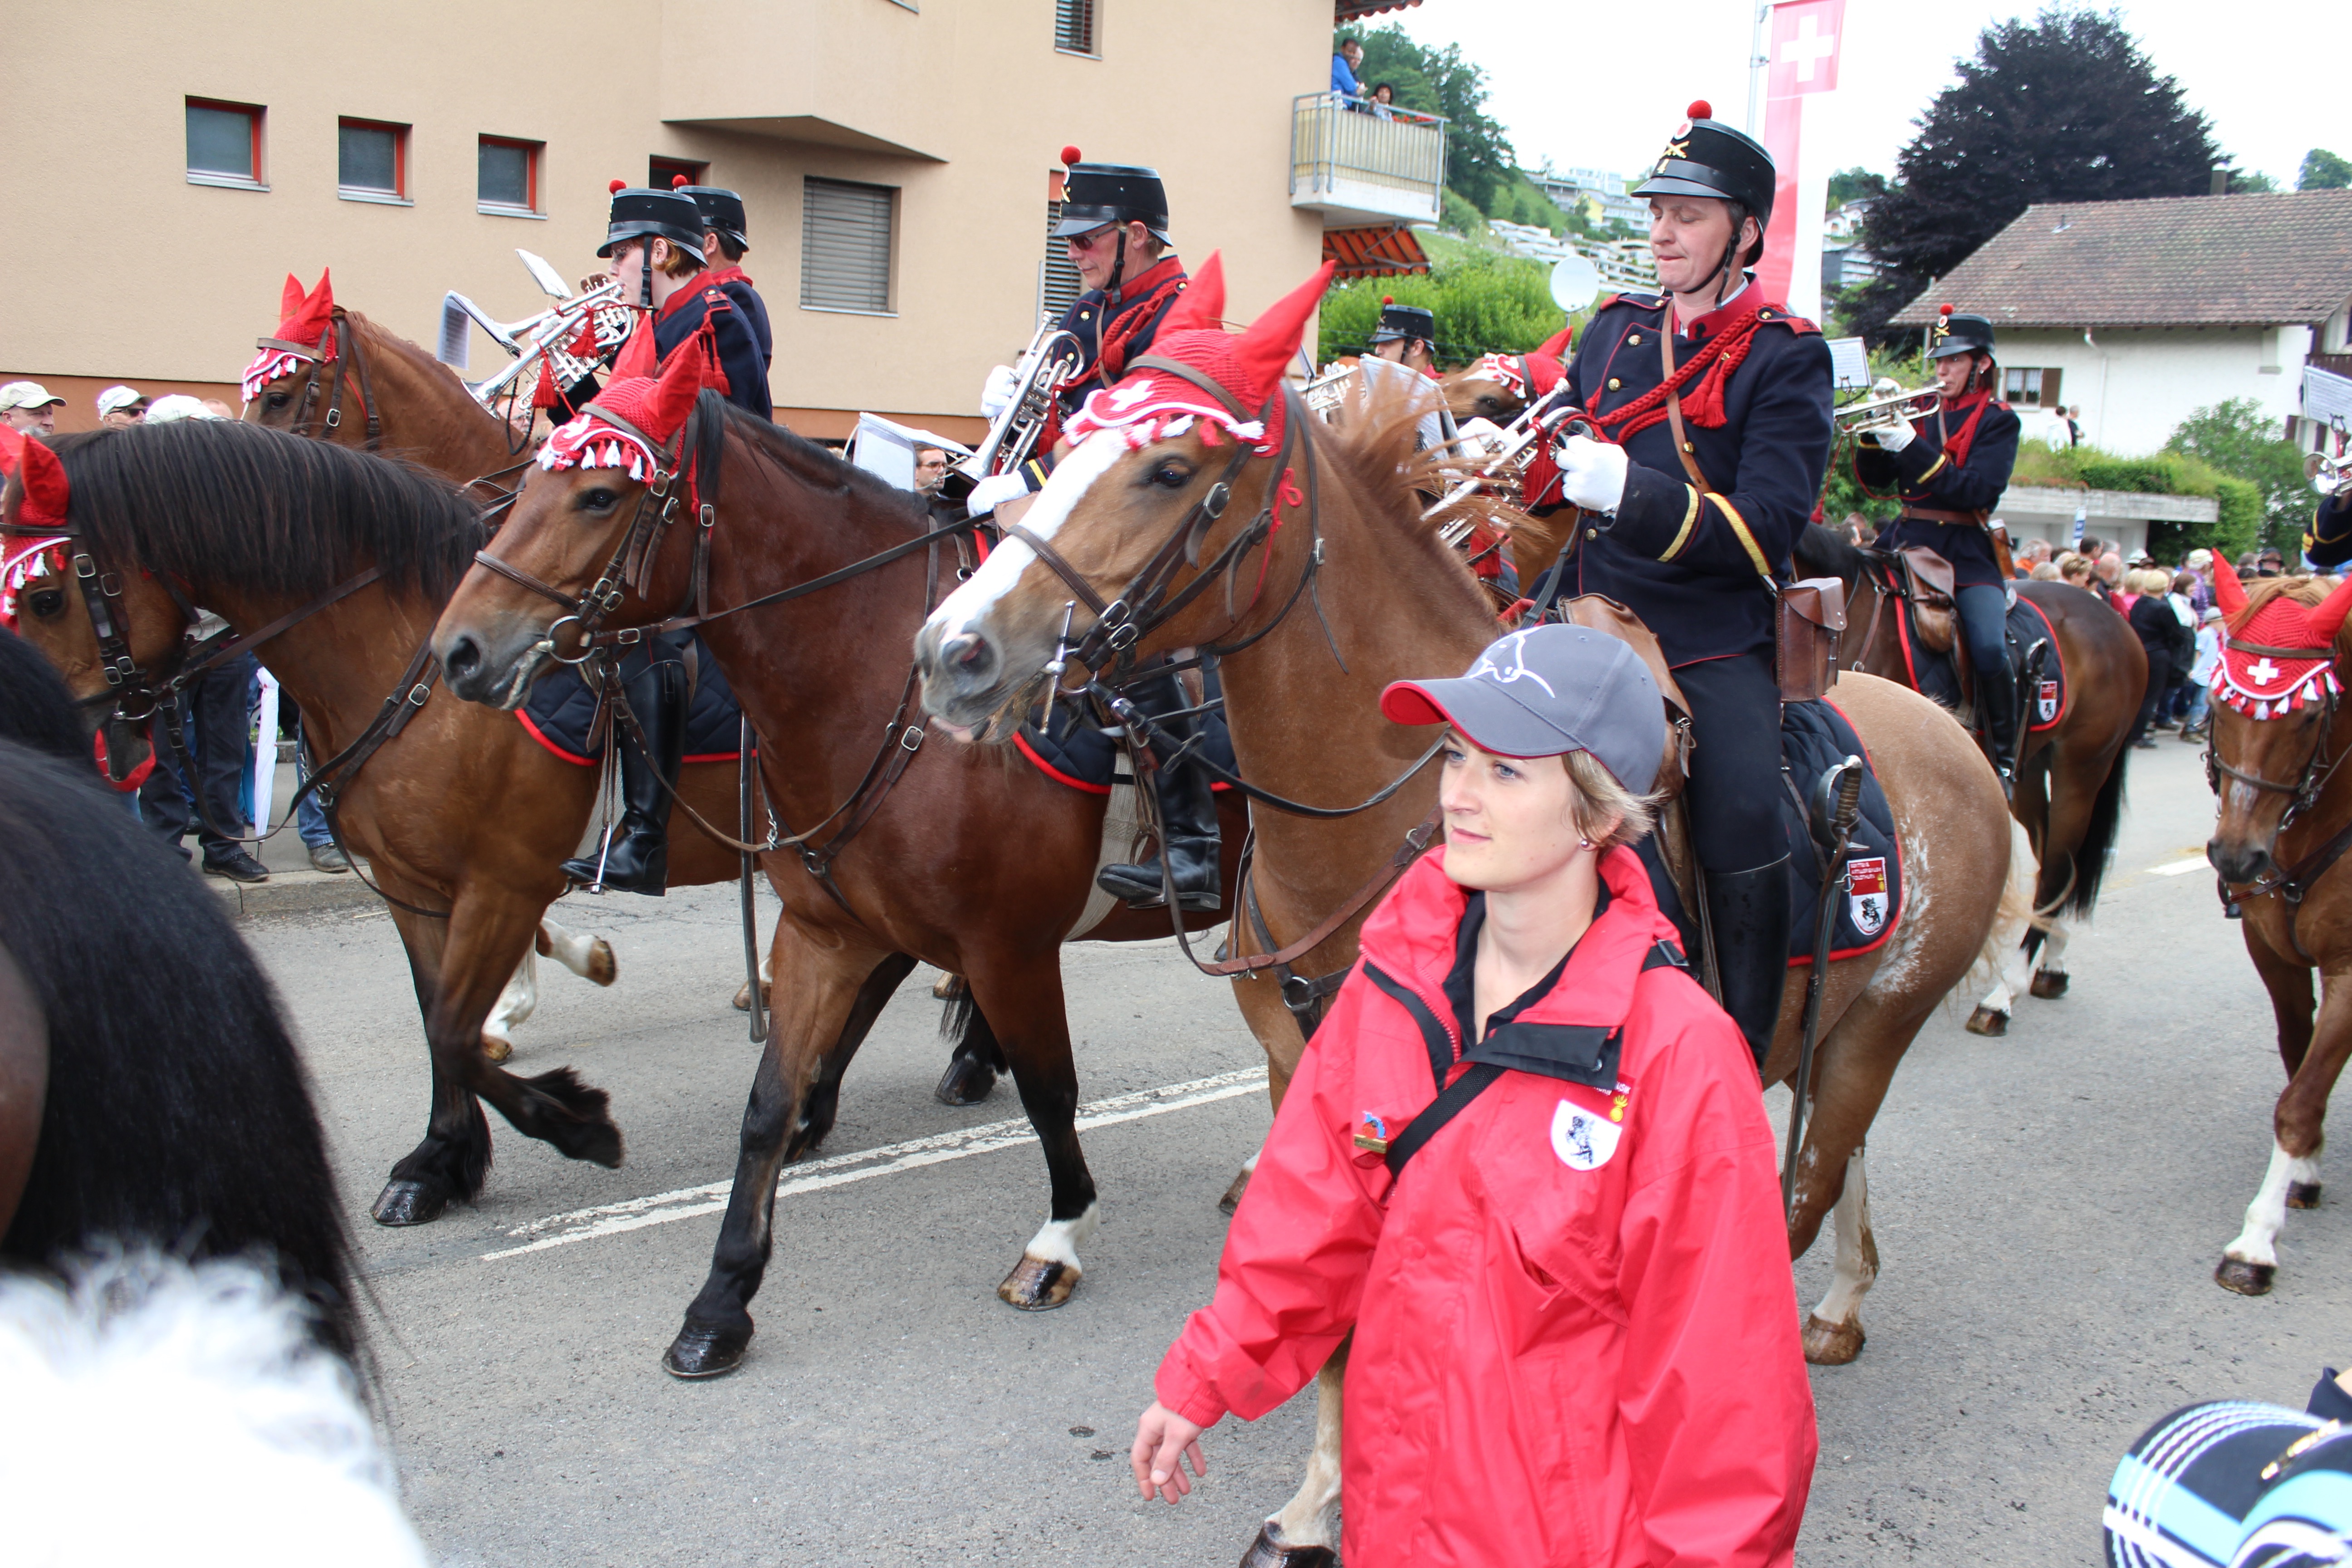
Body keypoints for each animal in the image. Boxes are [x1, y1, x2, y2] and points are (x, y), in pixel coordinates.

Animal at [1, 419, 796, 1229]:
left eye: (43, 599)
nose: (32, 738)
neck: (416, 666)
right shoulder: (410, 884)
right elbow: (435, 1017)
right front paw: (440, 1161)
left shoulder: (504, 883)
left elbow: (453, 1028)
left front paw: (577, 1123)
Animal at [428, 369, 1248, 1379]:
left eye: (600, 494)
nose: (458, 649)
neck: (876, 685)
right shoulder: (824, 931)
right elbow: (765, 1104)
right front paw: (721, 1300)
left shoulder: (1008, 949)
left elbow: (1051, 1092)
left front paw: (1057, 1242)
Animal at [909, 267, 2015, 1562]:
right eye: (1075, 432)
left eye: (1171, 467)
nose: (952, 650)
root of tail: (1957, 740)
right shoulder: (1305, 1078)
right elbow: (1333, 1306)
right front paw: (1316, 1499)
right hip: (1831, 1029)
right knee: (1836, 1170)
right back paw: (1840, 1304)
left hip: (1876, 1026)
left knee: (1807, 1180)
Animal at [1795, 522, 2144, 1034]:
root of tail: (2110, 613)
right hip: (2030, 770)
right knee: (2056, 863)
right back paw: (2052, 962)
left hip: (2082, 767)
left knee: (2061, 864)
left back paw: (2005, 992)